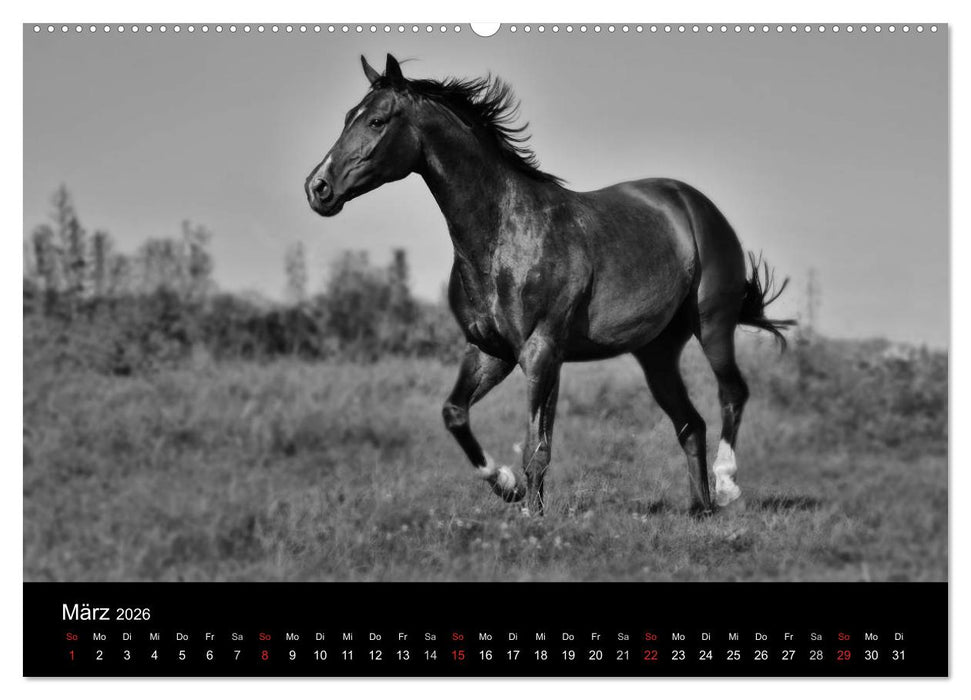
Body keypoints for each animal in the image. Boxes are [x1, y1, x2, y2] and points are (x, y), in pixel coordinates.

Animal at [305, 54, 793, 516]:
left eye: (376, 120)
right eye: (348, 115)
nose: (318, 188)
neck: (504, 235)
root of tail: (695, 204)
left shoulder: (541, 352)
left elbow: (537, 448)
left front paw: (533, 517)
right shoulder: (490, 352)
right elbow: (455, 413)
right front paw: (508, 487)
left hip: (713, 324)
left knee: (731, 393)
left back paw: (726, 486)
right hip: (656, 353)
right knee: (691, 424)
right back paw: (701, 508)